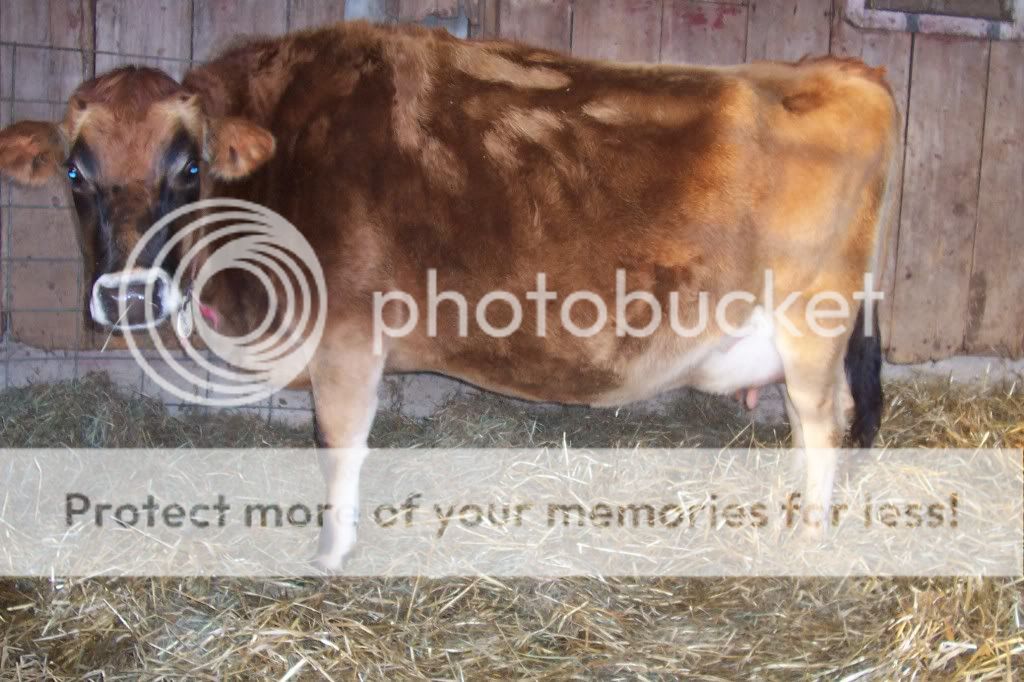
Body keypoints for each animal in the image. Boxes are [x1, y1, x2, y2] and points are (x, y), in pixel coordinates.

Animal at [0, 20, 896, 569]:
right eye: (75, 172)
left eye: (188, 167)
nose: (126, 297)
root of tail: (840, 68)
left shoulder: (346, 338)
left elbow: (339, 447)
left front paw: (331, 554)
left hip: (812, 323)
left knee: (822, 426)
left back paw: (808, 536)